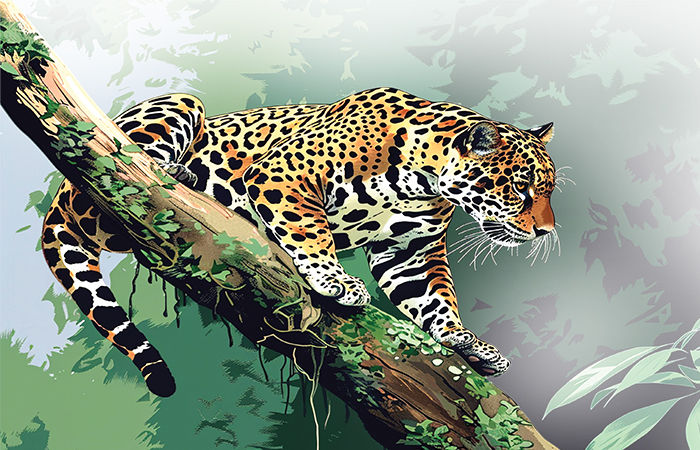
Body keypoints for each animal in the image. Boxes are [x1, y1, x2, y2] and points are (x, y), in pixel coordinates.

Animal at [42, 87, 556, 397]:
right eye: (520, 188)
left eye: (549, 190)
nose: (546, 231)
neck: (422, 179)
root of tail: (58, 201)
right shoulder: (283, 175)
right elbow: (310, 230)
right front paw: (336, 282)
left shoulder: (412, 250)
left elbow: (435, 300)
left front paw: (470, 344)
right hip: (172, 109)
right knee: (123, 167)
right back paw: (179, 173)